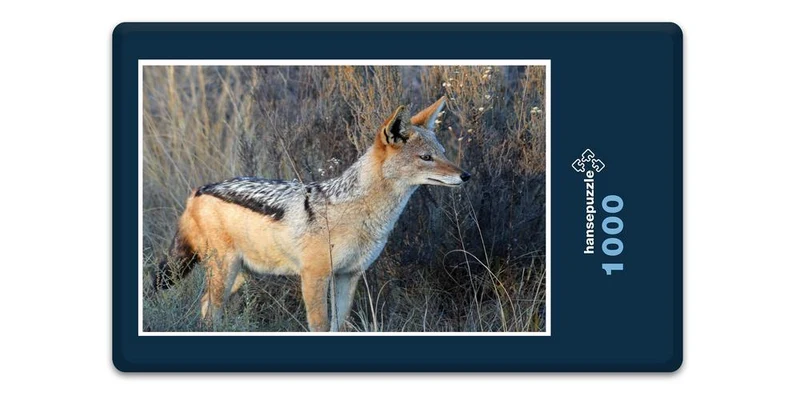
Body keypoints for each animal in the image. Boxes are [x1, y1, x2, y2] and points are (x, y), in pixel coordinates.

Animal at [153, 96, 471, 332]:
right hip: (225, 272)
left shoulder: (348, 276)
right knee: (210, 313)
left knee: (205, 306)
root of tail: (198, 190)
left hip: (239, 276)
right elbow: (320, 325)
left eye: (443, 153)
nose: (466, 176)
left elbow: (339, 324)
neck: (363, 215)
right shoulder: (314, 276)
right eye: (426, 158)